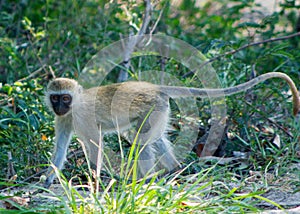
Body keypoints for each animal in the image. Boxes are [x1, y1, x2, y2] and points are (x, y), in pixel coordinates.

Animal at [43, 72, 298, 187]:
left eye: (66, 98)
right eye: (55, 98)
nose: (59, 107)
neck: (75, 106)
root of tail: (155, 87)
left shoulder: (83, 117)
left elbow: (96, 147)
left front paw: (98, 181)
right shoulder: (64, 120)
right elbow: (61, 148)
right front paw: (47, 179)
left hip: (153, 107)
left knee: (141, 140)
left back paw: (145, 180)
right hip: (159, 110)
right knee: (152, 139)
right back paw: (173, 170)